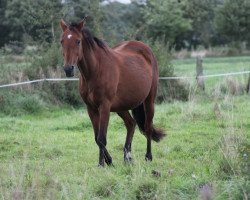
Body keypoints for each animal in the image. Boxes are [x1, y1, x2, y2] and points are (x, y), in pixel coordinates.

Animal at [60, 18, 166, 166]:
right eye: (62, 41)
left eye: (78, 41)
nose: (68, 69)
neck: (96, 70)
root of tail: (145, 49)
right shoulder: (91, 108)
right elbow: (96, 137)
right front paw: (108, 161)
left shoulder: (104, 107)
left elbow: (101, 138)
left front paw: (102, 164)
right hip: (121, 107)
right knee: (131, 124)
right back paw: (127, 157)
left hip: (149, 101)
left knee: (147, 127)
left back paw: (148, 157)